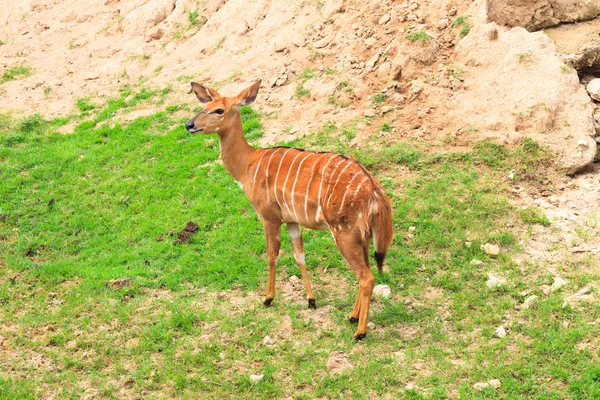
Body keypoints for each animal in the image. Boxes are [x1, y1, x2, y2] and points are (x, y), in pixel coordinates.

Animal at [186, 81, 394, 340]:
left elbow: (272, 255)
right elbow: (300, 256)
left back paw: (359, 332)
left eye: (219, 110)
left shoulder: (269, 217)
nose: (189, 125)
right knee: (365, 270)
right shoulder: (292, 220)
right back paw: (352, 316)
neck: (248, 166)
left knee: (367, 277)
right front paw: (311, 300)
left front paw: (268, 298)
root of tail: (375, 191)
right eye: (204, 106)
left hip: (344, 233)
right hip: (361, 236)